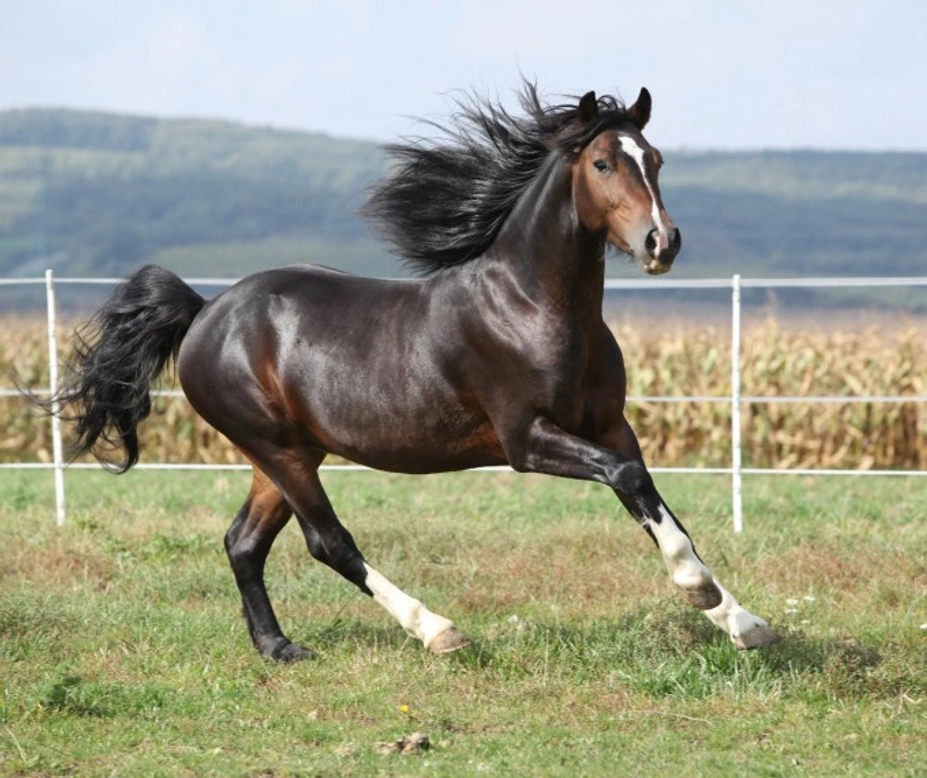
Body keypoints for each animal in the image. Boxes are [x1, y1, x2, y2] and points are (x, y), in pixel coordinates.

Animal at [51, 83, 779, 661]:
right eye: (602, 162)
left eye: (654, 160)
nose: (662, 243)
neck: (530, 306)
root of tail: (204, 311)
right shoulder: (526, 439)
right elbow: (629, 481)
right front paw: (700, 592)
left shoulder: (608, 426)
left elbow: (648, 496)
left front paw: (740, 620)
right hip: (276, 448)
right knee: (327, 542)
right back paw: (438, 631)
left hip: (285, 453)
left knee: (243, 543)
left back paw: (279, 648)